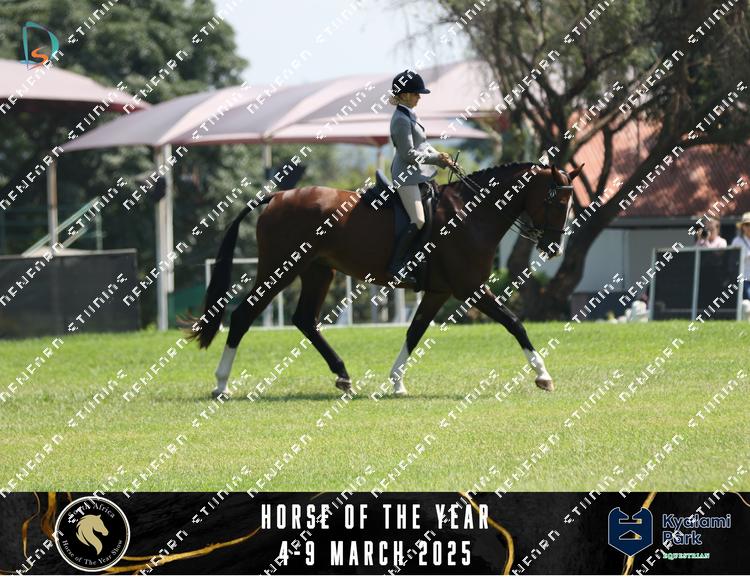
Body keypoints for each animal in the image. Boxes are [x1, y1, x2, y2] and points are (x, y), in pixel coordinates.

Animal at [187, 162, 583, 398]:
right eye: (556, 203)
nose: (554, 248)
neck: (470, 213)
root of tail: (276, 196)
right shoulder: (472, 289)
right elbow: (516, 324)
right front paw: (543, 375)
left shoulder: (438, 292)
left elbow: (414, 332)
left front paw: (397, 382)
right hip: (280, 269)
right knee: (243, 315)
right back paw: (221, 384)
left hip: (318, 270)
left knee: (304, 320)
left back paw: (343, 375)